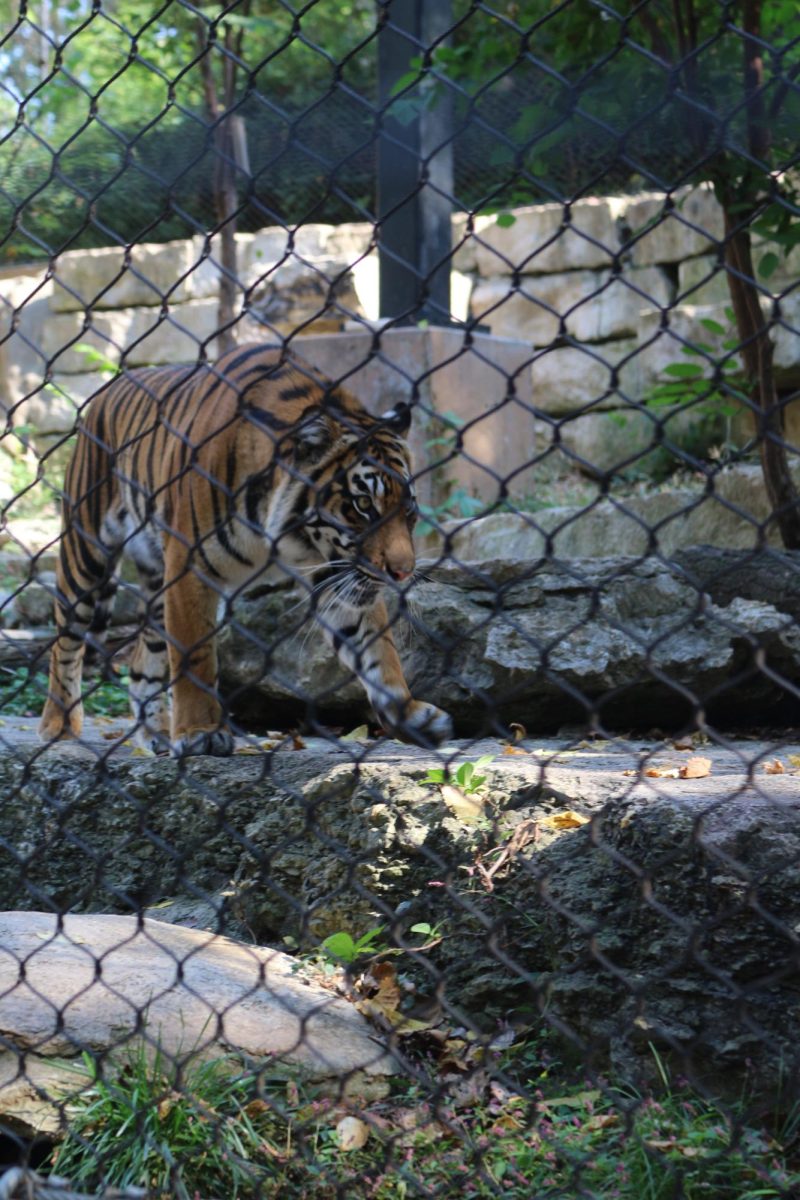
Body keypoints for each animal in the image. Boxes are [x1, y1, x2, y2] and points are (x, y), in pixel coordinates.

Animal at [37, 348, 453, 753]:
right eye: (363, 504)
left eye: (409, 508)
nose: (402, 571)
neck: (287, 535)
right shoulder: (189, 566)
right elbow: (194, 657)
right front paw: (201, 732)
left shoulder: (335, 573)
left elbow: (377, 648)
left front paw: (411, 715)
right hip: (86, 552)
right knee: (65, 641)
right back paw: (59, 725)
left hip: (155, 583)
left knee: (144, 658)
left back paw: (155, 732)